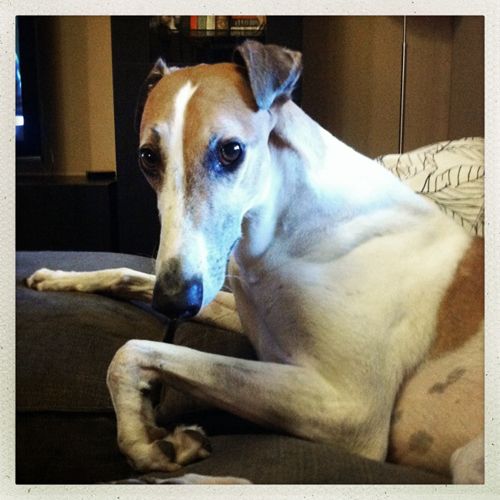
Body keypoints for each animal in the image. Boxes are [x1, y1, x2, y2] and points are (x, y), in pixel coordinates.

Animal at [25, 41, 482, 482]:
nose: (173, 303)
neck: (282, 231)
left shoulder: (350, 411)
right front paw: (57, 278)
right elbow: (126, 276)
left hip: (466, 459)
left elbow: (135, 350)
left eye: (231, 151)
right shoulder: (242, 310)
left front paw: (145, 444)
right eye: (147, 156)